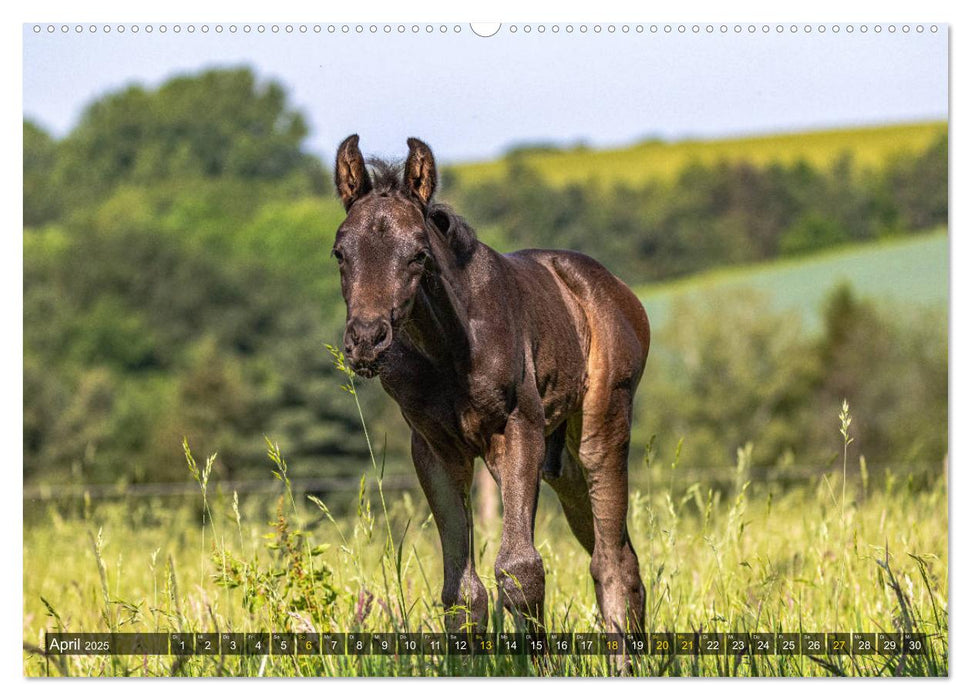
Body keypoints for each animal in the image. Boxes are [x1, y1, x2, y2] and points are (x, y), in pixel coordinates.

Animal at [330, 135, 648, 636]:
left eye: (418, 253)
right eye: (340, 252)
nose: (366, 338)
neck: (449, 351)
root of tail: (620, 292)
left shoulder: (517, 429)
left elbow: (520, 569)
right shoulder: (435, 449)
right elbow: (461, 592)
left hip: (602, 426)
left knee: (613, 561)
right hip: (562, 465)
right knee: (615, 551)